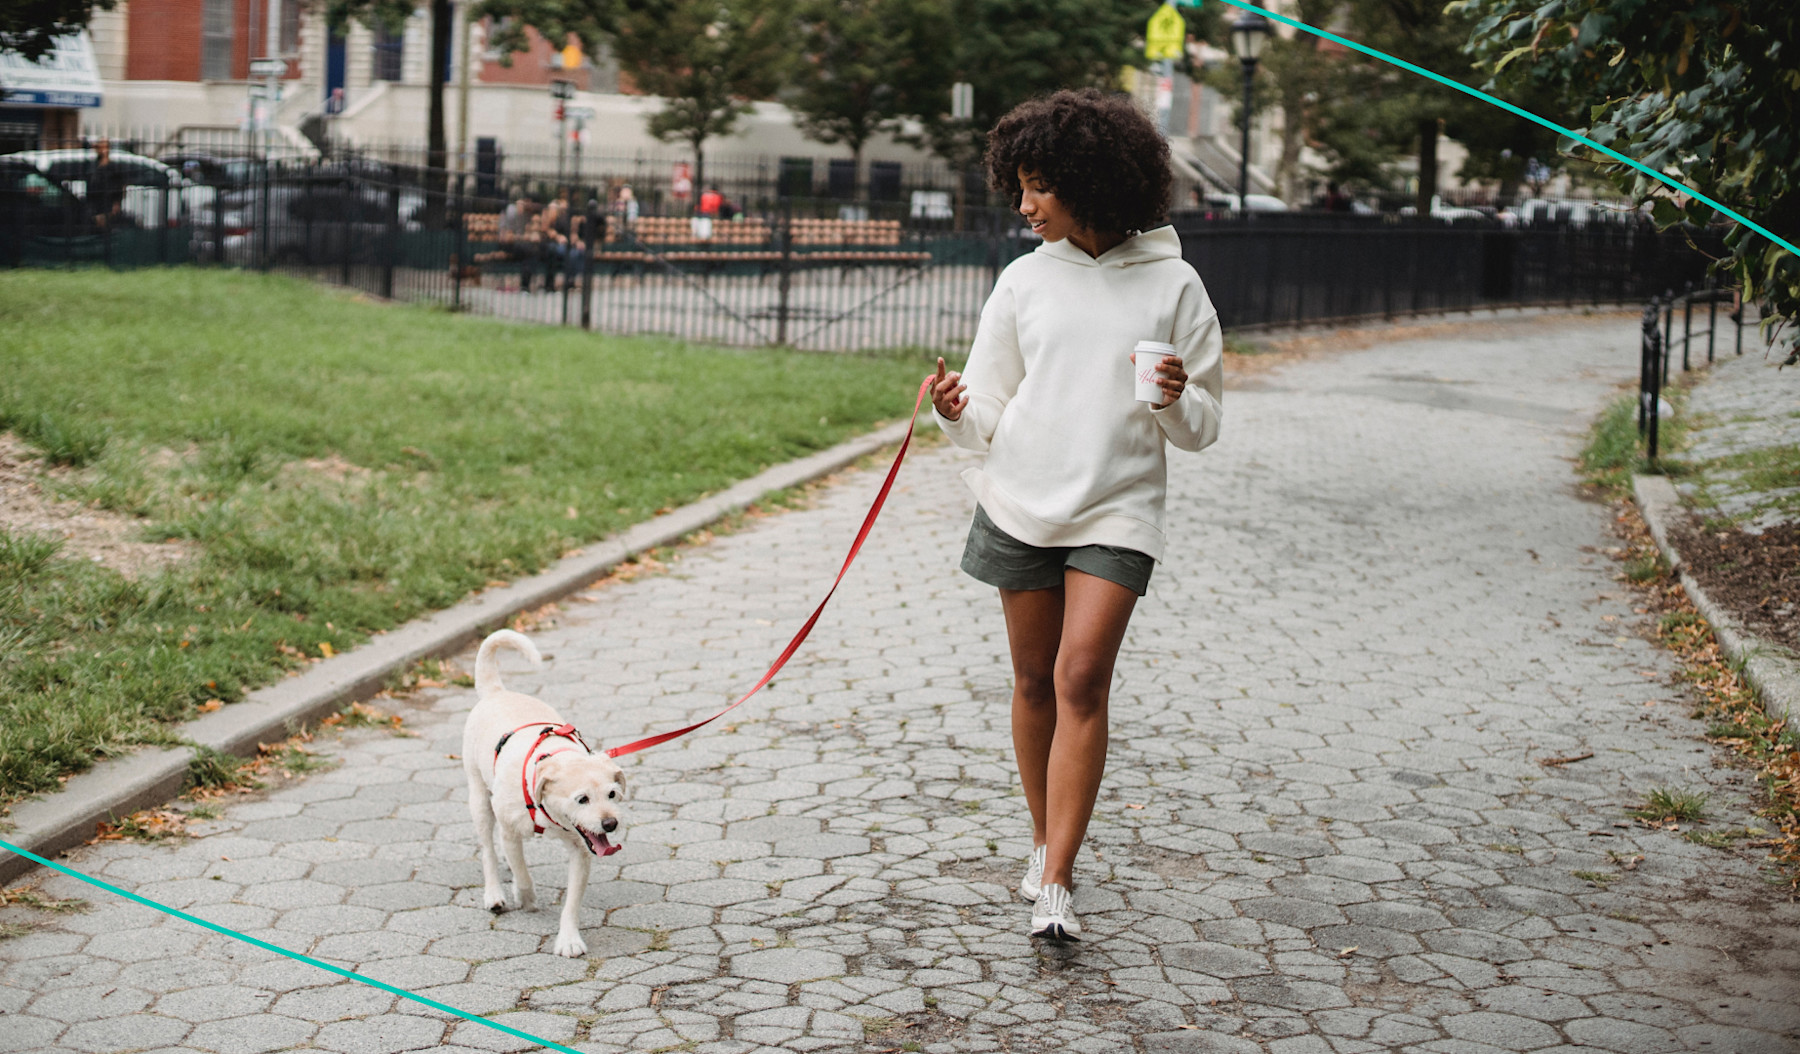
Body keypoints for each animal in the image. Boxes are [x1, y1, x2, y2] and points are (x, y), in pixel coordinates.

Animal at [462, 629, 627, 957]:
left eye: (612, 794)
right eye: (582, 799)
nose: (610, 824)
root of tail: (497, 692)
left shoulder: (582, 850)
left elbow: (572, 902)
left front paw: (569, 939)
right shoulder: (510, 832)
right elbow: (521, 870)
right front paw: (525, 897)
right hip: (479, 800)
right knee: (487, 850)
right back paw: (495, 893)